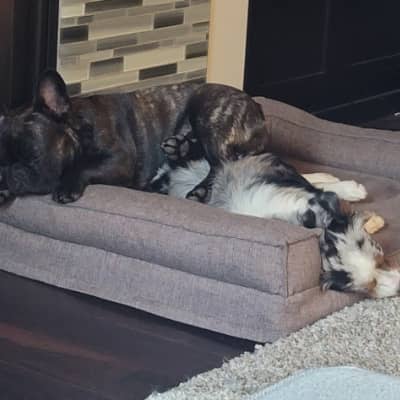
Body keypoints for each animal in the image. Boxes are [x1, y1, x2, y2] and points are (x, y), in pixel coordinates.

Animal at [0, 70, 269, 204]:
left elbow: (84, 167)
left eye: (33, 154)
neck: (79, 127)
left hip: (207, 108)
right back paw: (178, 148)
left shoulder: (120, 160)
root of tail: (257, 109)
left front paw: (67, 186)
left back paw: (200, 190)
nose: (5, 173)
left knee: (221, 162)